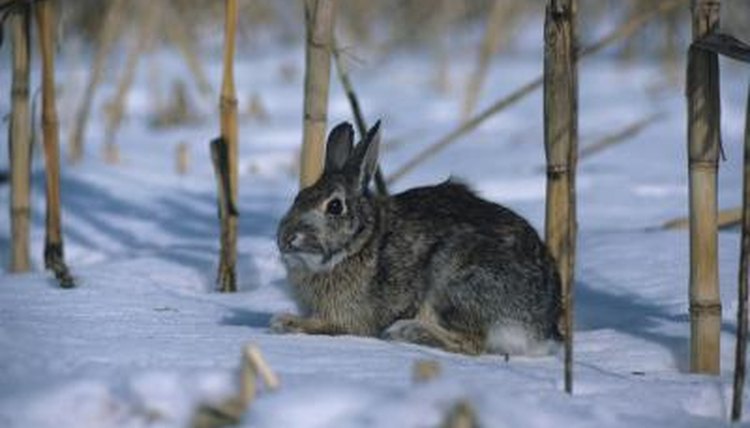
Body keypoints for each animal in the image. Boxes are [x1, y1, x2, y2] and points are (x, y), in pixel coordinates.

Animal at [274, 120, 560, 354]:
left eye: (334, 206)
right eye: (298, 197)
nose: (285, 239)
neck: (360, 242)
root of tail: (539, 326)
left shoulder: (349, 317)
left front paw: (286, 322)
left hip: (453, 282)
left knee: (471, 343)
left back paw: (407, 331)